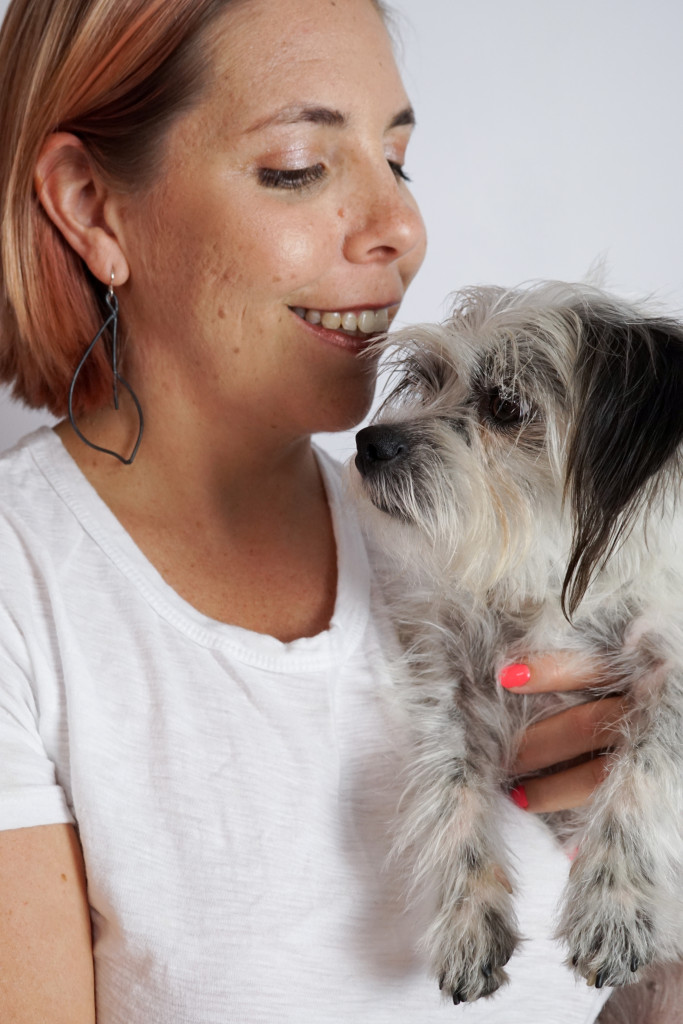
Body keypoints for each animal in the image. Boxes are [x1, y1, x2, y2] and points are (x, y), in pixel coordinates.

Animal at [350, 284, 683, 1003]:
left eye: (505, 405)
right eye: (428, 380)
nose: (367, 442)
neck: (538, 586)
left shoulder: (670, 666)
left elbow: (647, 766)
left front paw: (612, 904)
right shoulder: (448, 678)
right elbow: (447, 781)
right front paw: (468, 916)